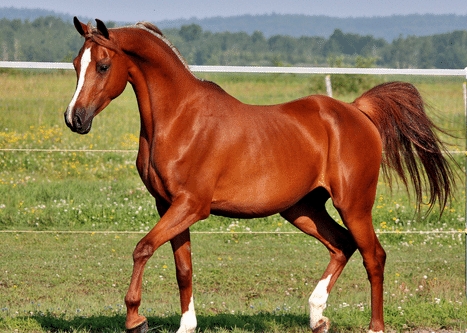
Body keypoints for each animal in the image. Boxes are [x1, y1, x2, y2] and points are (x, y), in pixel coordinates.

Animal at [64, 17, 456, 332]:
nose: (75, 119)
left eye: (103, 65)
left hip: (354, 205)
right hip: (302, 209)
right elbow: (183, 268)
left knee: (373, 255)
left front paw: (135, 318)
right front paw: (185, 325)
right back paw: (317, 316)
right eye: (75, 63)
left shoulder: (191, 206)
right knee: (342, 244)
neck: (179, 119)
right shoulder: (168, 206)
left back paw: (374, 326)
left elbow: (142, 248)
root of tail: (358, 112)